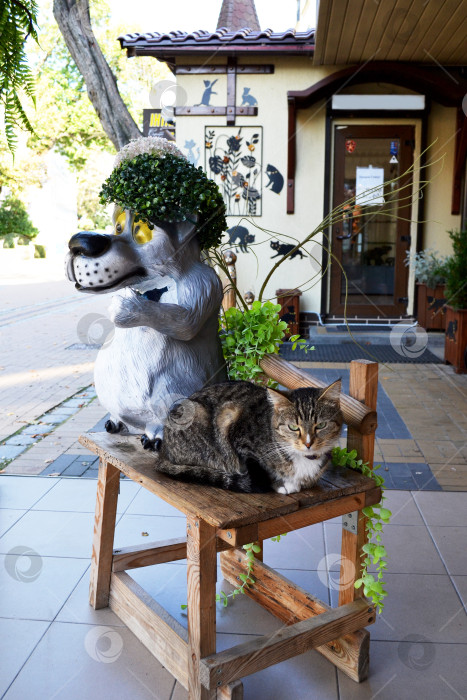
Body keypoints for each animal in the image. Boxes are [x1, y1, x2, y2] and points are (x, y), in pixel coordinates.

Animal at [155, 380, 342, 494]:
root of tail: (163, 451)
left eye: (321, 425)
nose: (308, 443)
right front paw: (280, 484)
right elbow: (256, 466)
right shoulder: (234, 427)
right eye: (293, 427)